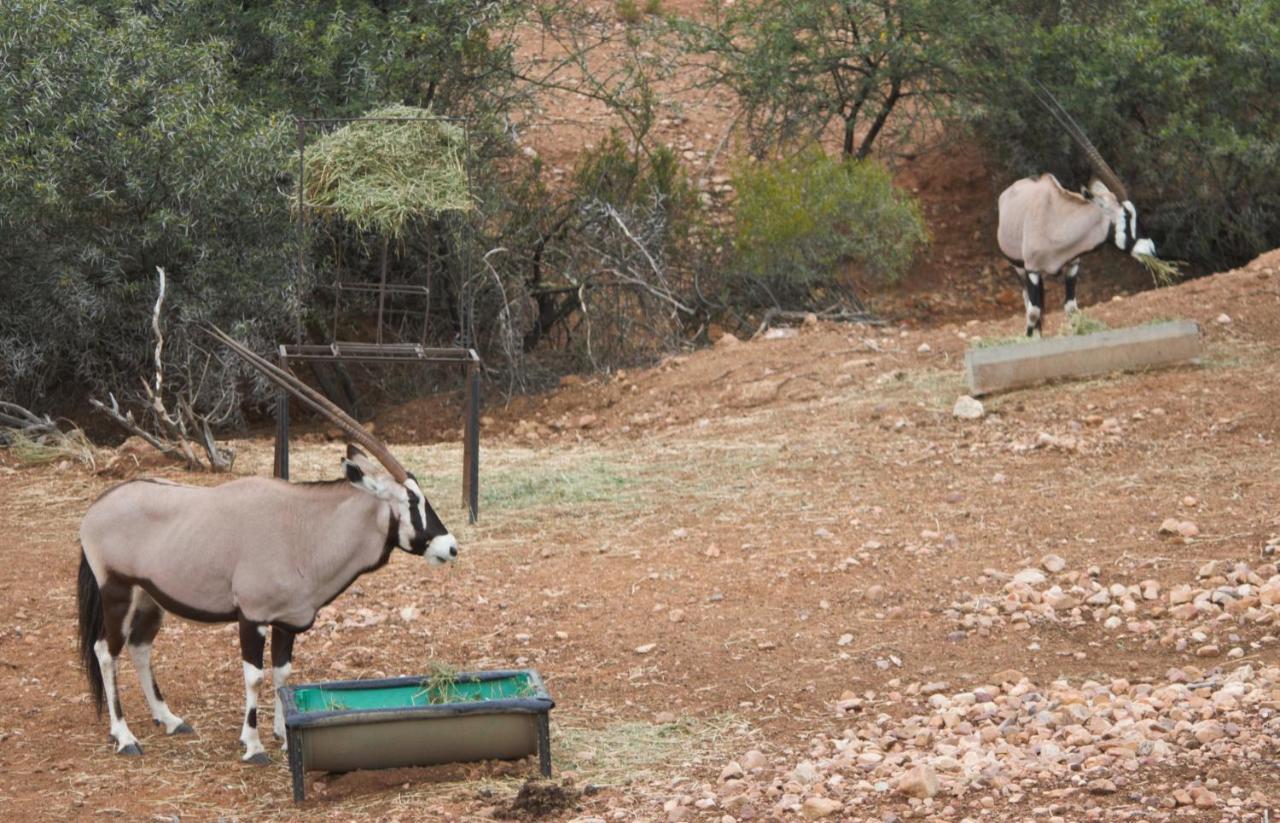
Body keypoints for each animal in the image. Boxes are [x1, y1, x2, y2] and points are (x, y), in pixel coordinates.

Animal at [77, 325, 458, 762]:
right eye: (412, 500)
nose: (450, 547)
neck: (305, 531)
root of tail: (95, 510)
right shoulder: (253, 618)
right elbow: (255, 676)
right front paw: (254, 744)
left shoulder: (287, 621)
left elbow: (283, 673)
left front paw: (283, 732)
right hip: (117, 592)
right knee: (106, 651)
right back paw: (124, 736)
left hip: (149, 598)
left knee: (139, 648)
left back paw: (170, 720)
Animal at [998, 85, 1162, 335]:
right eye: (1126, 215)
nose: (1151, 249)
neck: (1057, 223)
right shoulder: (1033, 271)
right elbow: (1033, 312)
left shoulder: (1072, 266)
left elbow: (1071, 308)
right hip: (1019, 269)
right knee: (1029, 305)